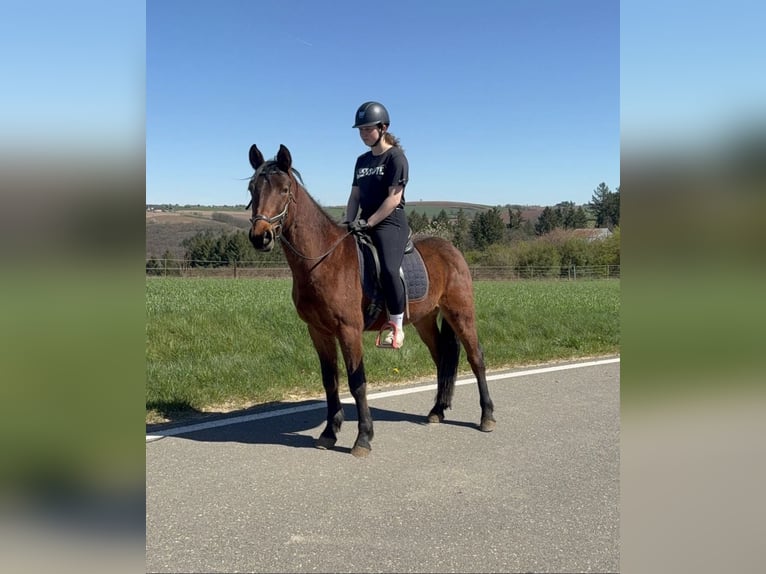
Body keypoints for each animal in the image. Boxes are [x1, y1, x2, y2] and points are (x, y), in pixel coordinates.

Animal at [246, 144, 495, 457]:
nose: (260, 237)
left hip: (461, 313)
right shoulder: (318, 331)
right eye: (252, 188)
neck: (323, 260)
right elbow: (330, 381)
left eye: (284, 189)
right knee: (442, 358)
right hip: (425, 320)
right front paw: (329, 433)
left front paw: (363, 437)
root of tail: (452, 249)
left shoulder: (349, 330)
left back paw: (487, 415)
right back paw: (437, 410)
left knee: (476, 358)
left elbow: (357, 383)